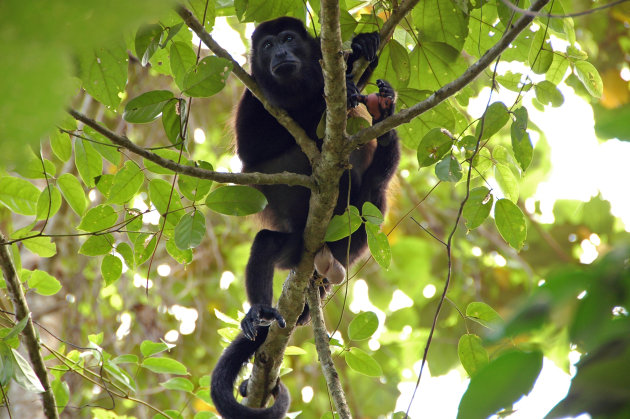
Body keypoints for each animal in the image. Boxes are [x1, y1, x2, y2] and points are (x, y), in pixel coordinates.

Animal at [211, 16, 400, 419]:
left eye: (288, 39)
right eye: (267, 46)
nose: (280, 53)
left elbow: (350, 81)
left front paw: (361, 48)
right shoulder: (252, 96)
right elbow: (253, 149)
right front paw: (321, 103)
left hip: (357, 234)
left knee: (375, 184)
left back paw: (383, 123)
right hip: (296, 245)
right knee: (267, 244)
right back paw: (259, 312)